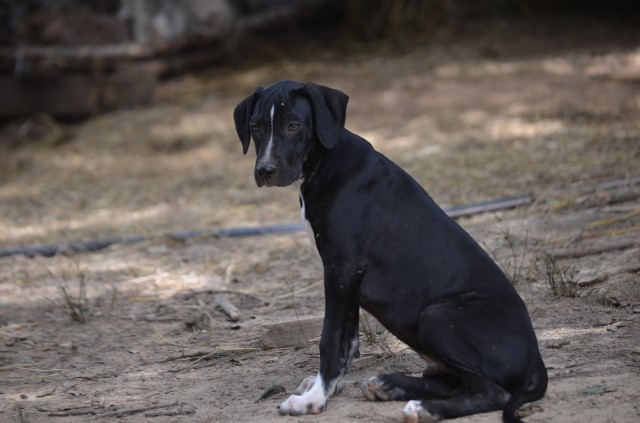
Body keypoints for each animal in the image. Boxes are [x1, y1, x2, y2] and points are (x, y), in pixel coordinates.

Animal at [232, 81, 548, 422]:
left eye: (293, 125)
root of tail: (536, 361)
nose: (265, 170)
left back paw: (424, 407)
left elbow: (330, 339)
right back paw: (390, 385)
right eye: (256, 127)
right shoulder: (347, 277)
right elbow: (348, 340)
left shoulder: (342, 268)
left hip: (437, 316)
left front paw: (315, 398)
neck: (326, 162)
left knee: (491, 392)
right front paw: (329, 387)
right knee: (451, 381)